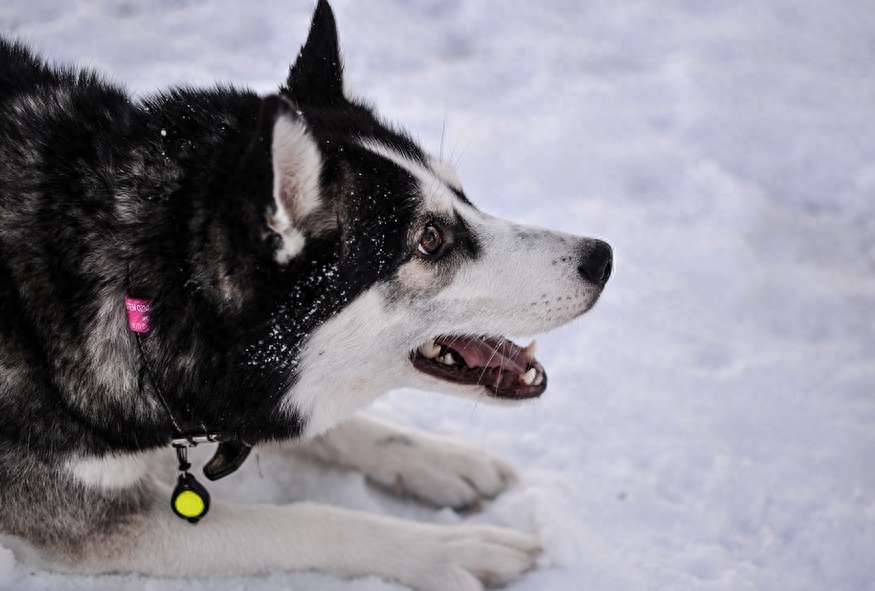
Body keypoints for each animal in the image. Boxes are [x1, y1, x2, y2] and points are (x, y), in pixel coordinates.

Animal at [0, 2, 612, 588]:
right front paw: (449, 547)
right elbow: (307, 521)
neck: (137, 301)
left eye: (463, 195)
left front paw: (437, 458)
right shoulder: (96, 523)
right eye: (430, 238)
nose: (602, 258)